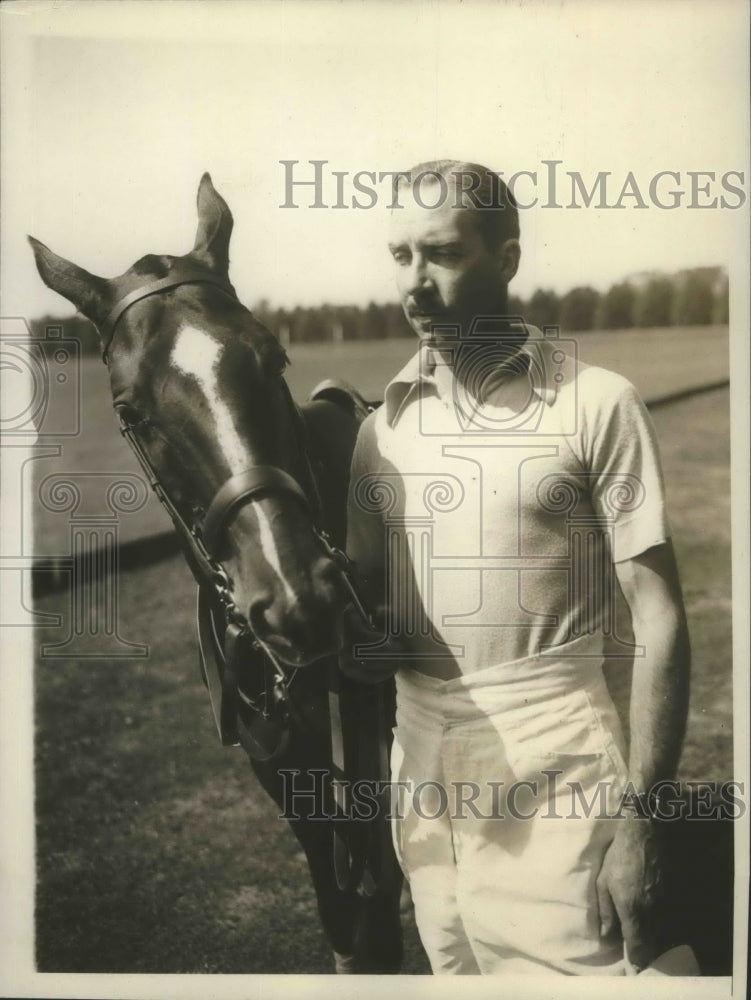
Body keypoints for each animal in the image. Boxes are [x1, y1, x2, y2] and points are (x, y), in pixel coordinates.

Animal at [29, 174, 406, 976]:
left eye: (276, 359)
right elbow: (336, 892)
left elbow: (374, 872)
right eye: (129, 409)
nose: (299, 598)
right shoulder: (273, 742)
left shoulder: (362, 696)